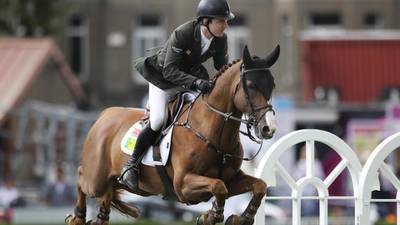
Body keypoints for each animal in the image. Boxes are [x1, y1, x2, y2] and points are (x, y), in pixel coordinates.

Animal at [65, 44, 278, 225]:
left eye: (272, 85)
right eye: (251, 85)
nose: (268, 128)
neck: (214, 134)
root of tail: (104, 115)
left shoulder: (232, 179)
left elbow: (259, 186)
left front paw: (243, 218)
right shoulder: (183, 184)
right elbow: (219, 187)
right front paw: (211, 216)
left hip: (118, 184)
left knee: (105, 201)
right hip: (97, 180)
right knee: (81, 178)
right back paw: (77, 218)